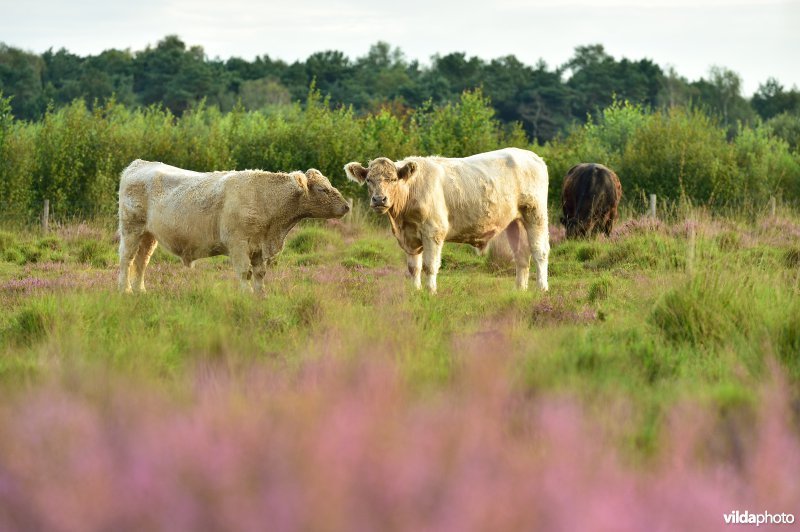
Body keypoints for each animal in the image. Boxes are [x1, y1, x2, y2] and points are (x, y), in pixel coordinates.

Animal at [117, 160, 348, 294]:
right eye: (322, 189)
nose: (346, 206)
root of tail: (138, 163)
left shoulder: (258, 248)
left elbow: (260, 274)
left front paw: (260, 297)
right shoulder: (238, 244)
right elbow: (245, 273)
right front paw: (246, 297)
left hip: (149, 235)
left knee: (142, 261)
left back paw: (140, 291)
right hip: (131, 229)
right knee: (127, 260)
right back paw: (125, 290)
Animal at [344, 148, 552, 294]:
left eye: (393, 179)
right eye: (369, 180)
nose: (379, 199)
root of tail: (531, 155)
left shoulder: (433, 231)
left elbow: (430, 265)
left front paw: (431, 292)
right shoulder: (409, 237)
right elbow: (414, 267)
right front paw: (416, 291)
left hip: (535, 213)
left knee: (539, 251)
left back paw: (541, 288)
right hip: (514, 222)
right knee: (522, 254)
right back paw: (519, 290)